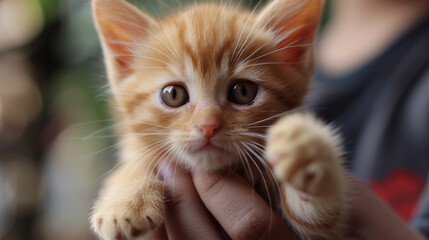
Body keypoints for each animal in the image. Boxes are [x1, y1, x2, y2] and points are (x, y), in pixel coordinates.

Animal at [89, 0, 344, 239]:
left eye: (243, 91)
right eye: (173, 94)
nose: (208, 126)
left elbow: (322, 215)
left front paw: (307, 151)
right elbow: (138, 159)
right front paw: (126, 197)